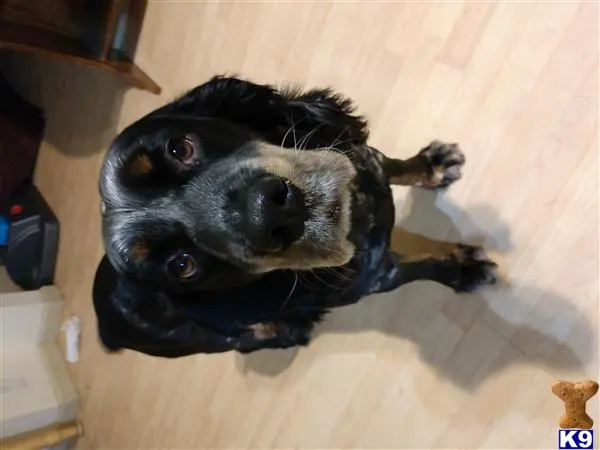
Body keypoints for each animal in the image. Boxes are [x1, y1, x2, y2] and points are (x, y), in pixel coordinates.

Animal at [94, 77, 496, 358]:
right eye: (181, 266)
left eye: (180, 148)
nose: (271, 211)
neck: (359, 212)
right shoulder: (378, 275)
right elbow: (424, 266)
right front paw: (466, 268)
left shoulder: (368, 160)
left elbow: (395, 166)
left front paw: (433, 165)